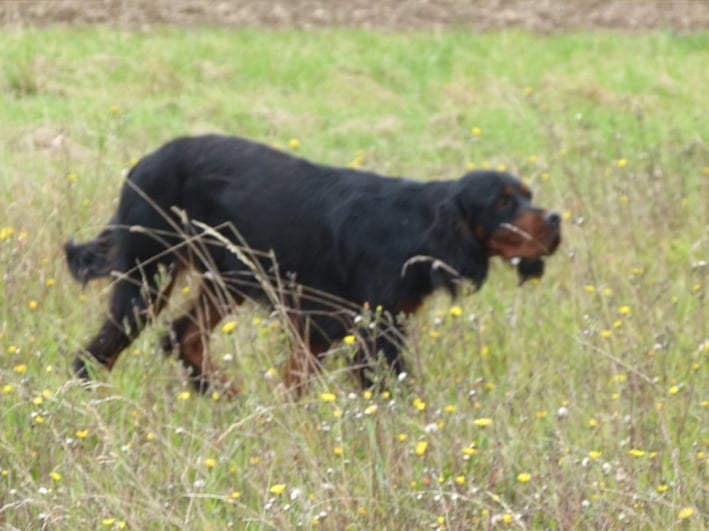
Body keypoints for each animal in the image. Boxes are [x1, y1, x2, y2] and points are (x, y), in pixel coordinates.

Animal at [65, 135, 560, 396]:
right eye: (502, 202)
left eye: (529, 196)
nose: (555, 219)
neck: (416, 226)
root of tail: (142, 163)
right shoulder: (375, 331)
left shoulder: (323, 325)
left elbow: (294, 384)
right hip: (148, 276)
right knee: (94, 354)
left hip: (227, 277)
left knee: (182, 337)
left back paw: (232, 398)